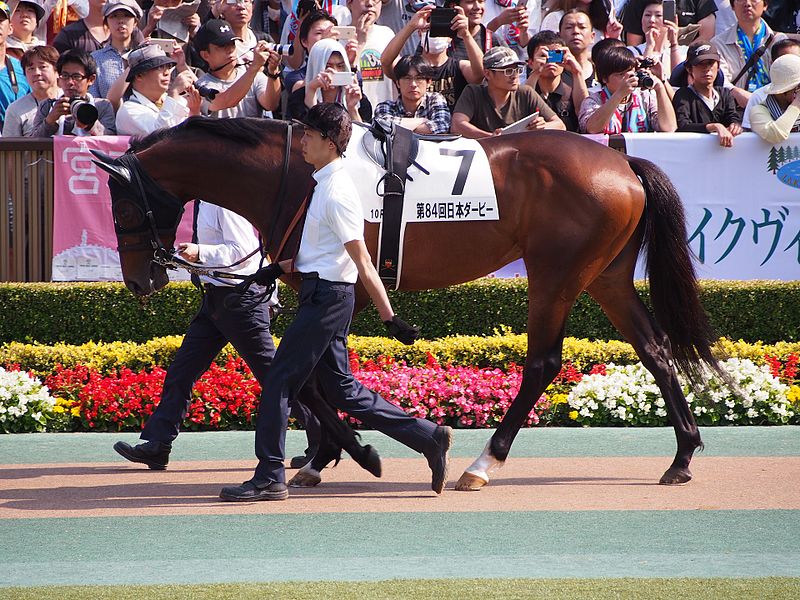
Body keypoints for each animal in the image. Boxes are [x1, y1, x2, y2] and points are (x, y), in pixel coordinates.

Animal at [92, 115, 720, 490]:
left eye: (120, 207)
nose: (139, 281)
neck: (295, 175)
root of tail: (620, 162)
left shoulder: (338, 282)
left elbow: (310, 378)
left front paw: (348, 451)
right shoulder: (327, 285)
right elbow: (319, 375)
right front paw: (323, 455)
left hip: (556, 274)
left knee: (543, 362)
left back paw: (482, 463)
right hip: (605, 276)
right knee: (657, 351)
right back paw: (682, 456)